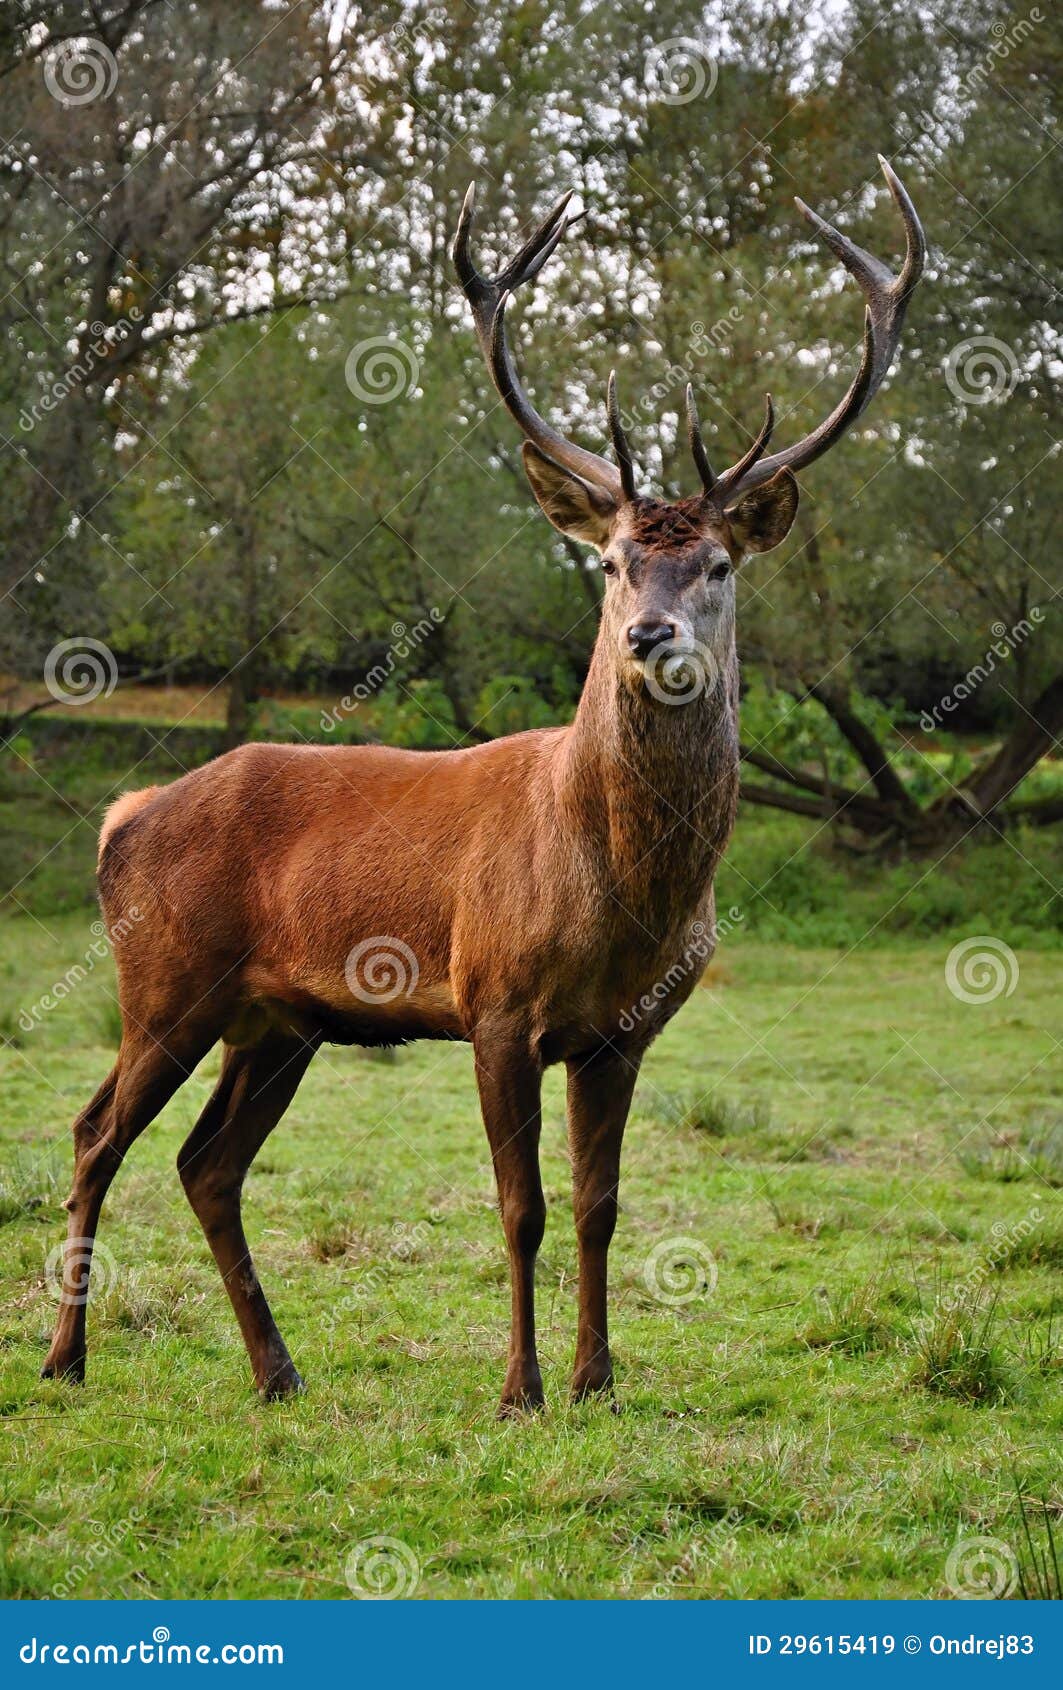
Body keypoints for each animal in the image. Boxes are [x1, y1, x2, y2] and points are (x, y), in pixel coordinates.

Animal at [42, 160, 924, 1415]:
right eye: (611, 560)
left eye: (715, 564)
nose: (649, 634)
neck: (622, 890)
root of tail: (121, 816)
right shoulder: (493, 999)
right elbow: (523, 1209)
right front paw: (520, 1389)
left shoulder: (622, 1033)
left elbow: (601, 1208)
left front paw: (599, 1379)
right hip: (165, 979)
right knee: (92, 1133)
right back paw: (67, 1359)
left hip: (277, 1020)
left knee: (204, 1163)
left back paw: (278, 1371)